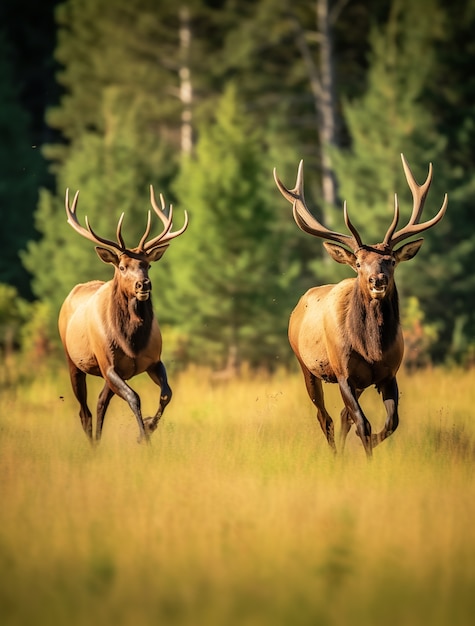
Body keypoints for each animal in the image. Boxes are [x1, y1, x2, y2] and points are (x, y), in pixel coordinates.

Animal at [57, 185, 188, 444]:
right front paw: (143, 436)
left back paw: (98, 442)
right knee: (84, 411)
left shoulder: (153, 360)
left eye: (148, 264)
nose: (143, 284)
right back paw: (92, 445)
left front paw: (149, 425)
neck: (132, 342)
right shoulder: (108, 365)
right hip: (73, 360)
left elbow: (166, 394)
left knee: (99, 402)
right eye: (122, 266)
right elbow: (134, 397)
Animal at [274, 151, 448, 454]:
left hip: (360, 382)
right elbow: (363, 423)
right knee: (325, 417)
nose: (377, 280)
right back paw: (334, 455)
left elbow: (391, 423)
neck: (372, 349)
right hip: (305, 365)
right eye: (358, 263)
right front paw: (365, 454)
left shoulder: (388, 374)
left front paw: (370, 445)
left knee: (343, 416)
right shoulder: (343, 373)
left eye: (391, 261)